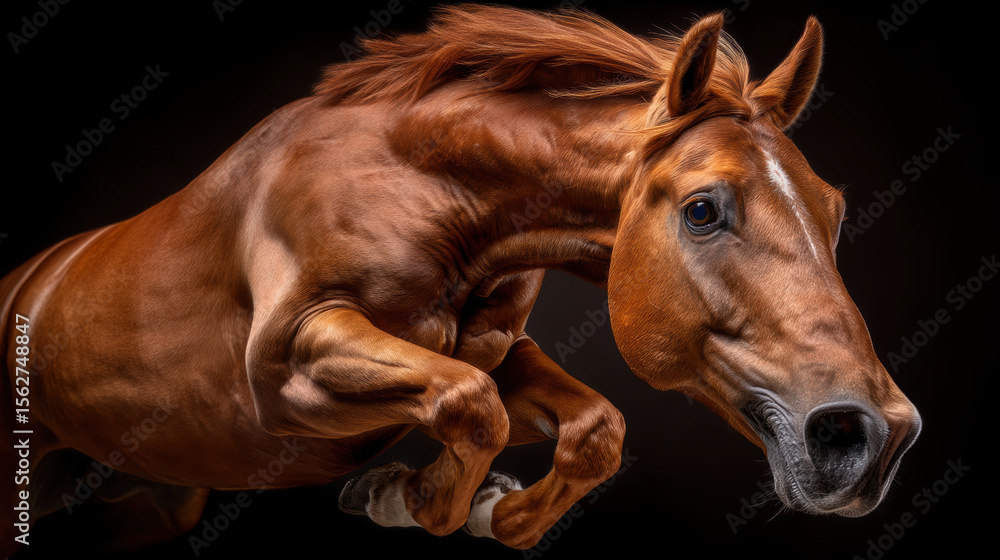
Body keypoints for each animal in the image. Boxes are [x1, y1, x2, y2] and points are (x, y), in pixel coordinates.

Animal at [1, 4, 921, 554]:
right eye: (703, 209)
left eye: (836, 210)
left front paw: (483, 508)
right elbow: (469, 407)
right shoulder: (286, 369)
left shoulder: (498, 352)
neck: (422, 192)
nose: (871, 438)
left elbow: (592, 428)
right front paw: (400, 495)